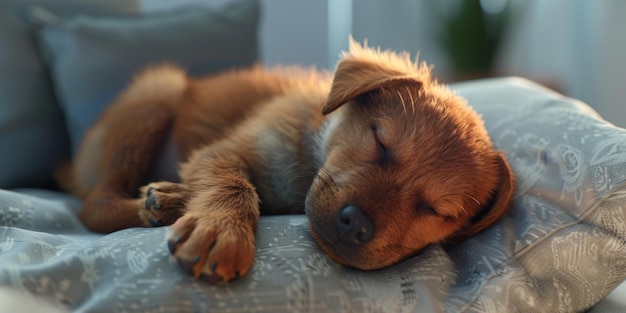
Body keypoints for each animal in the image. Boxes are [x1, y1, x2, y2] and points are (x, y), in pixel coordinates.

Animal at [58, 40, 512, 282]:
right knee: (94, 205)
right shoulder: (223, 151)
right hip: (157, 93)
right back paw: (158, 204)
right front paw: (222, 230)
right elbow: (234, 185)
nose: (356, 225)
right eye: (380, 142)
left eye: (436, 211)